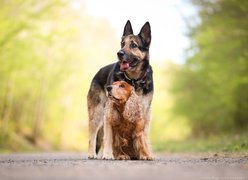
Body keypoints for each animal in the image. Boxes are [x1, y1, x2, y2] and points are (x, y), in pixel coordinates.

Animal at [87, 20, 153, 160]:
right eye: (122, 43)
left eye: (133, 45)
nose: (119, 53)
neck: (133, 79)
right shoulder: (109, 112)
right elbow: (108, 137)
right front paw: (108, 154)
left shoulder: (144, 112)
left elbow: (143, 135)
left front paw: (146, 154)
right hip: (97, 113)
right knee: (93, 135)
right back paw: (93, 154)